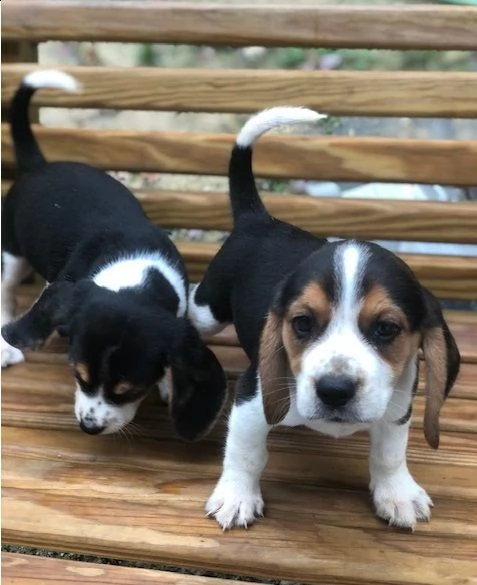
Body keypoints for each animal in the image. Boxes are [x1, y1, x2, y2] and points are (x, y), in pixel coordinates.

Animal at [1, 70, 227, 438]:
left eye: (130, 391)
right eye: (78, 375)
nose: (89, 427)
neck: (132, 274)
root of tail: (41, 167)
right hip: (12, 254)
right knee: (6, 291)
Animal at [188, 105, 460, 528]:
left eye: (387, 329)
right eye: (302, 323)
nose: (334, 390)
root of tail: (259, 219)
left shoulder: (397, 406)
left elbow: (389, 453)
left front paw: (396, 493)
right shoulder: (253, 397)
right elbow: (246, 452)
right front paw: (236, 496)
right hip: (208, 308)